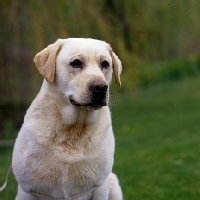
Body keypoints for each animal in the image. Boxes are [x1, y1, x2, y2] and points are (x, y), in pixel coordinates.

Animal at [12, 38, 122, 199]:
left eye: (105, 64)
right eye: (76, 63)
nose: (101, 87)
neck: (73, 130)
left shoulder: (98, 187)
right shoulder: (28, 190)